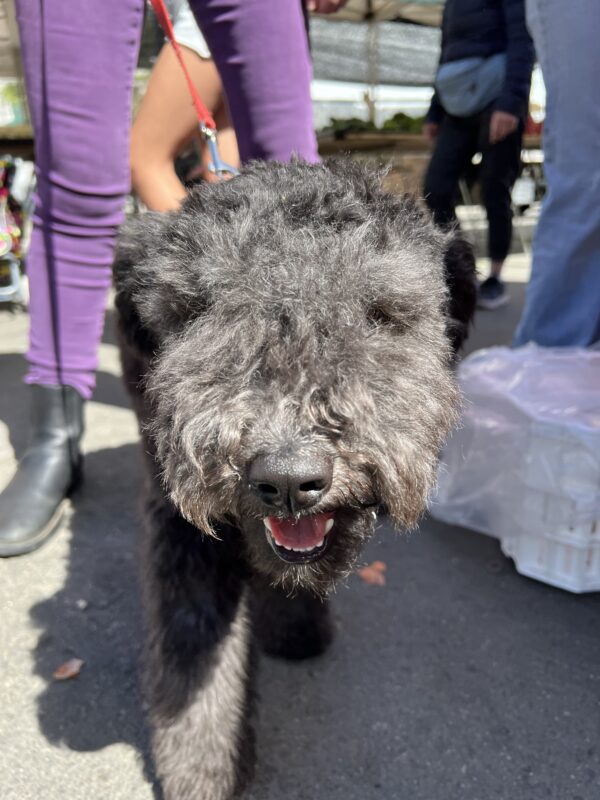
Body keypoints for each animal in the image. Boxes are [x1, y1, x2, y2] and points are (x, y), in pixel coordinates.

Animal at [114, 160, 476, 799]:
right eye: (196, 309)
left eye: (383, 312)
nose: (287, 478)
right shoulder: (182, 535)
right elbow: (192, 658)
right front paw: (203, 773)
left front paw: (296, 627)